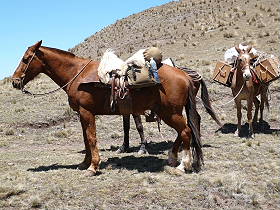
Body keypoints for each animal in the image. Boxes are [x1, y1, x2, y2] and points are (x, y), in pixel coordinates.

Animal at [11, 40, 203, 174]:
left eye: (26, 59)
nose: (14, 81)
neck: (76, 74)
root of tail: (185, 76)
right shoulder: (82, 114)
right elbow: (86, 139)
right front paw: (84, 163)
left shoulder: (87, 112)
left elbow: (91, 138)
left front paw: (93, 167)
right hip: (168, 112)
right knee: (184, 131)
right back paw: (173, 158)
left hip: (170, 112)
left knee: (185, 131)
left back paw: (182, 165)